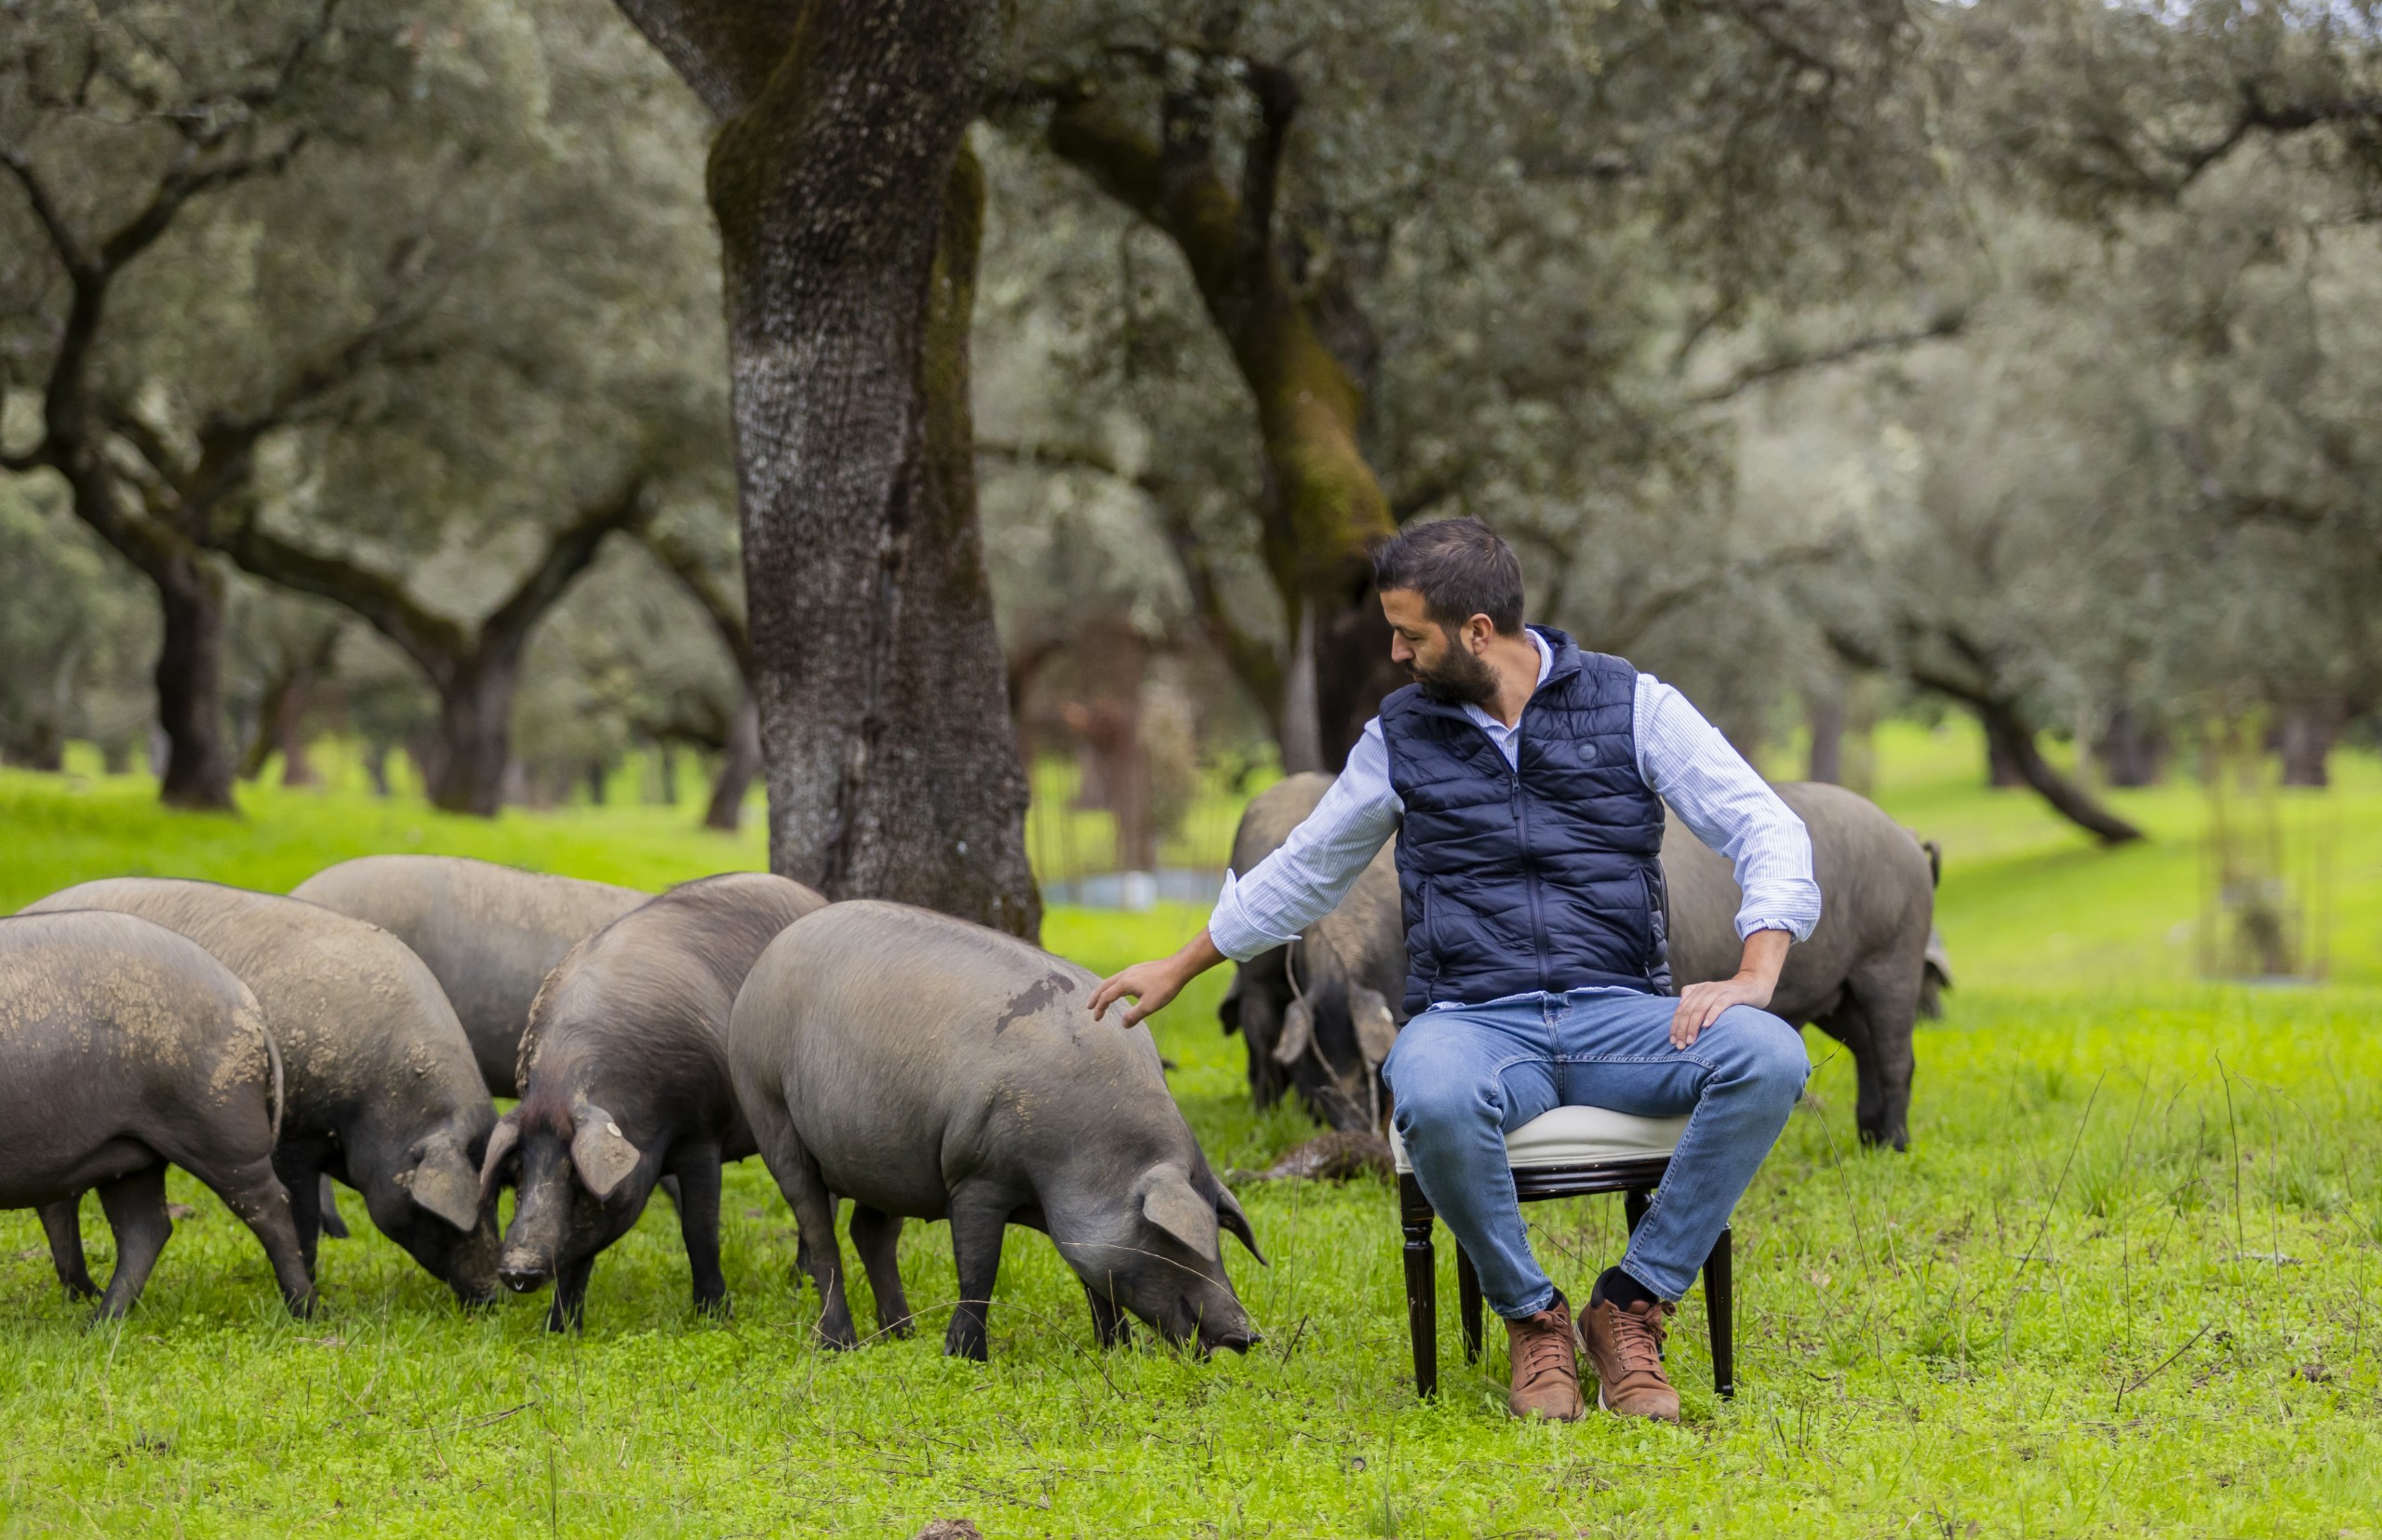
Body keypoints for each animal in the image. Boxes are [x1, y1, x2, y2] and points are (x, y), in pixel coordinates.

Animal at [1, 910, 316, 1325]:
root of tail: (247, 1002)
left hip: (222, 1132)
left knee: (269, 1204)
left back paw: (306, 1312)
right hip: (129, 1152)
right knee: (145, 1229)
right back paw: (100, 1322)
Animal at [19, 881, 504, 1306]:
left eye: (498, 1194)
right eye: (459, 1211)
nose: (496, 1295)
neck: (379, 1102)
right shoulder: (292, 1137)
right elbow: (301, 1217)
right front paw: (310, 1289)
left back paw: (85, 1295)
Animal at [474, 877, 828, 1334]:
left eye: (576, 1179)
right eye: (516, 1175)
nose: (518, 1268)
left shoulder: (702, 1134)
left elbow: (699, 1232)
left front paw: (714, 1319)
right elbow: (578, 1259)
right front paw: (558, 1331)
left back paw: (799, 1284)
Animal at [729, 905, 1266, 1363]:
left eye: (1217, 1237)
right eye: (1173, 1240)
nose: (1247, 1334)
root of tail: (762, 964)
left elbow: (1095, 1280)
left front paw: (1117, 1351)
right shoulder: (976, 1176)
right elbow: (979, 1269)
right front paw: (964, 1358)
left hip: (884, 1157)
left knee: (870, 1231)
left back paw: (903, 1335)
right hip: (770, 1109)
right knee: (821, 1234)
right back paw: (841, 1345)